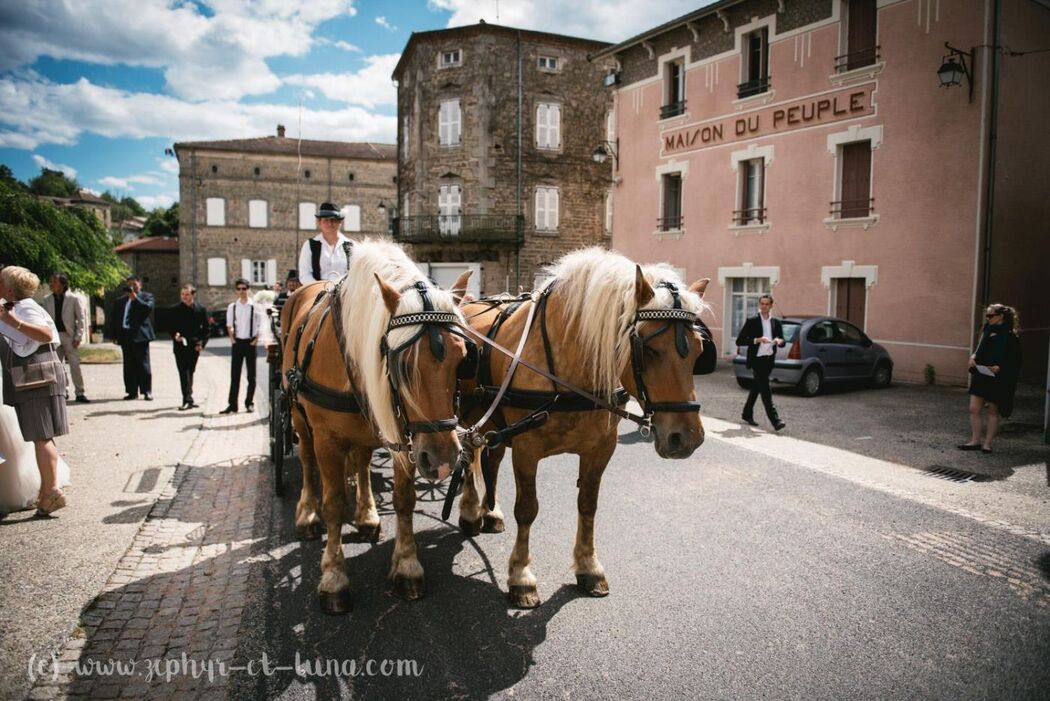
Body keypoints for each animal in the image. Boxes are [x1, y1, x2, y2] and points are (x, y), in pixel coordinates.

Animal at [281, 241, 474, 612]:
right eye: (402, 363)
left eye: (463, 358)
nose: (443, 459)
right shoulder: (328, 438)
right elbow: (333, 503)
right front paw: (334, 577)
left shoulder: (404, 435)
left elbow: (403, 498)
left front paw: (407, 565)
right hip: (299, 415)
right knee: (309, 461)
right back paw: (307, 515)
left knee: (361, 461)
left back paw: (367, 516)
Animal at [457, 247, 709, 608]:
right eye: (647, 348)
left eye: (699, 351)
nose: (686, 438)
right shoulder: (526, 450)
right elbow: (527, 510)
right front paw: (521, 576)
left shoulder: (600, 449)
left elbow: (588, 504)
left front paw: (588, 567)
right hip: (467, 418)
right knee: (468, 459)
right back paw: (469, 511)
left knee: (489, 462)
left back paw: (490, 512)